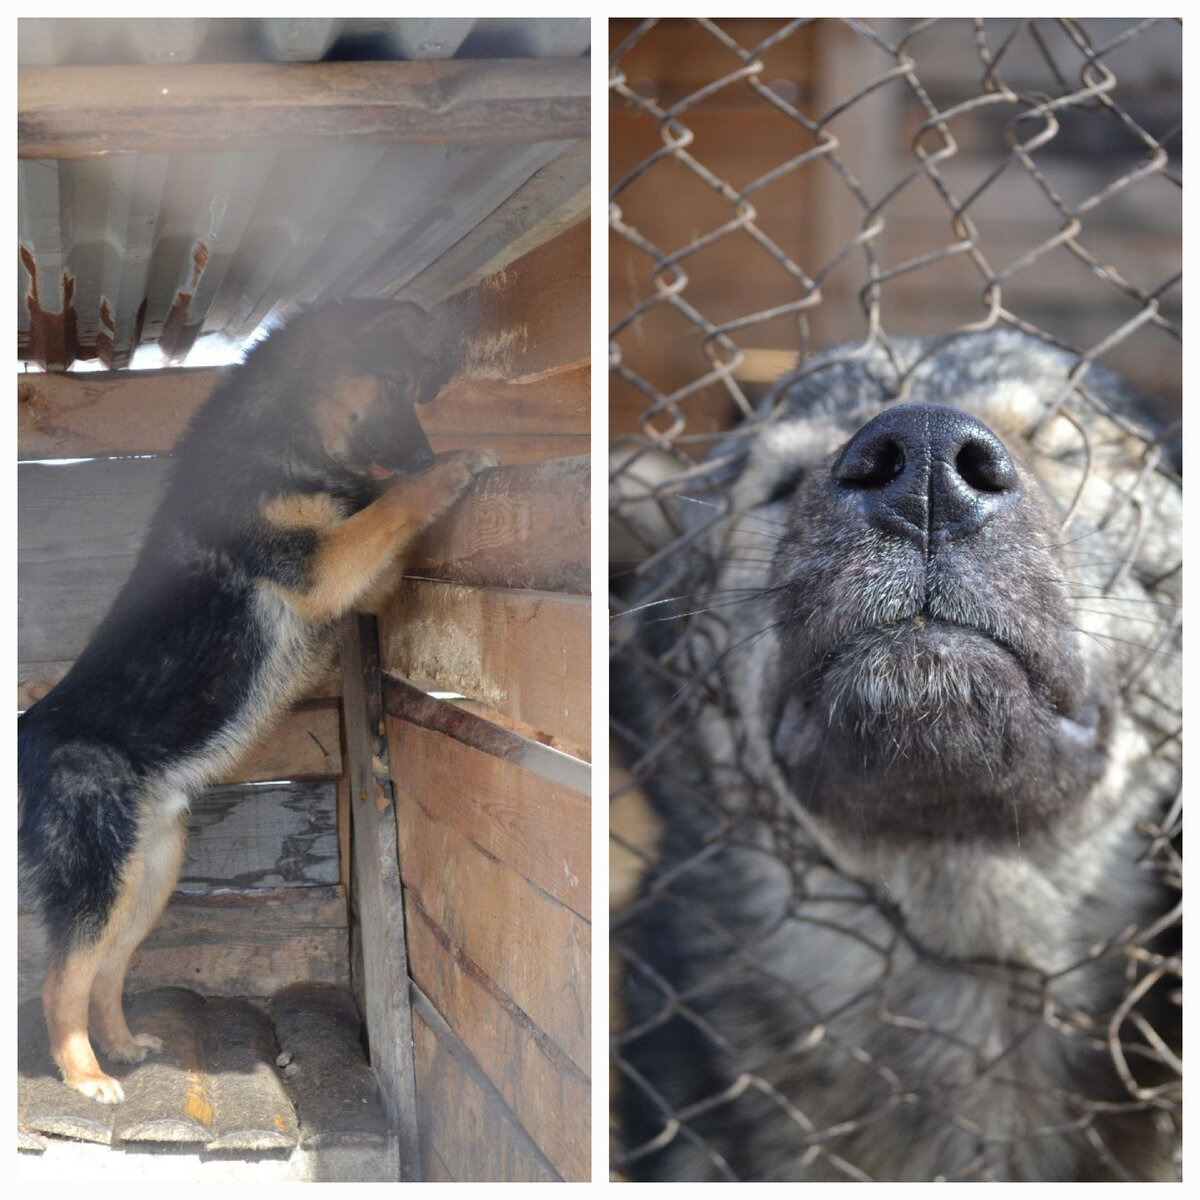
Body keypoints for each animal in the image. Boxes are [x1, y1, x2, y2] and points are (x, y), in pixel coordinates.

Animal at [15, 302, 492, 1104]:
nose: (423, 448)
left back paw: (123, 1044)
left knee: (106, 969)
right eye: (395, 387)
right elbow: (386, 510)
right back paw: (83, 1074)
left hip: (146, 878)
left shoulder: (355, 582)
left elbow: (378, 530)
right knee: (59, 980)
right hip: (98, 878)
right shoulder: (320, 566)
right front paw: (449, 469)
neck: (276, 441)